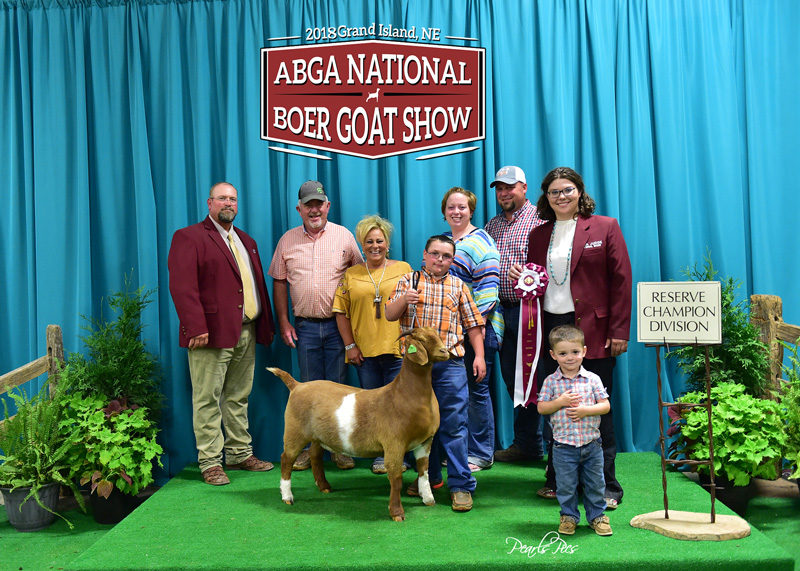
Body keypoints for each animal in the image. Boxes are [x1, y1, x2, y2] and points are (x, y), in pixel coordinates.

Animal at [266, 326, 446, 524]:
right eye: (422, 340)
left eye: (437, 335)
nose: (444, 351)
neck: (404, 393)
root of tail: (297, 385)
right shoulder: (394, 444)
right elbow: (396, 478)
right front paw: (397, 513)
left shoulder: (425, 441)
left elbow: (423, 471)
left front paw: (428, 499)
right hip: (294, 431)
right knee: (286, 459)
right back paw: (287, 496)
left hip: (319, 436)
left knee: (314, 455)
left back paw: (324, 486)